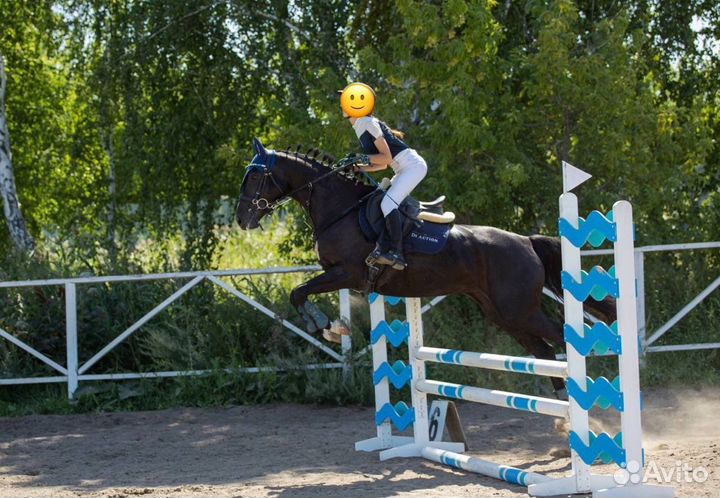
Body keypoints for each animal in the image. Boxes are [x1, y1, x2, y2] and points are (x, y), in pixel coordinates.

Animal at [235, 138, 615, 398]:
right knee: (546, 351)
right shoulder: (340, 276)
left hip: (519, 310)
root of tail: (526, 241)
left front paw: (327, 328)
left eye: (254, 178)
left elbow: (298, 293)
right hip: (506, 315)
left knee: (568, 334)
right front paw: (330, 327)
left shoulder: (347, 273)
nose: (241, 220)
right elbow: (298, 293)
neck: (340, 209)